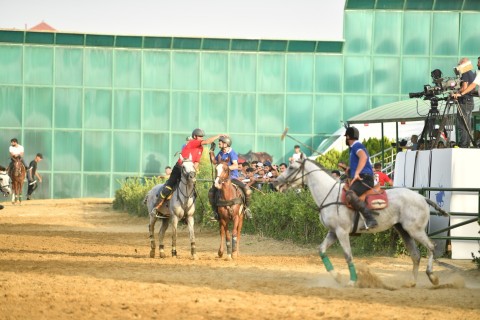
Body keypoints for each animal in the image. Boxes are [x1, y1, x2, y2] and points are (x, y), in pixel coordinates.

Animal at [274, 158, 450, 288]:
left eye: (291, 167)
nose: (275, 182)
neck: (329, 195)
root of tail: (422, 197)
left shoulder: (342, 232)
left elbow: (348, 256)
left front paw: (352, 281)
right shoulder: (333, 232)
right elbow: (321, 250)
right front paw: (337, 277)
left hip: (415, 230)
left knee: (431, 247)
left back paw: (432, 277)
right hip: (404, 231)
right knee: (416, 255)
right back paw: (412, 282)